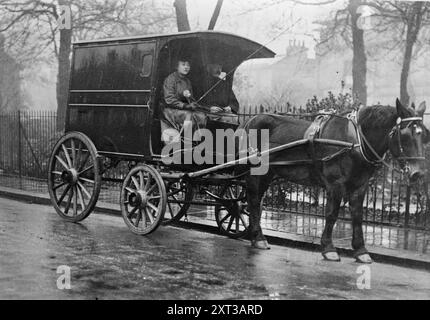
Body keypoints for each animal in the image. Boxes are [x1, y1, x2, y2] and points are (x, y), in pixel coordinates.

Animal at [242, 99, 426, 262]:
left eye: (424, 135)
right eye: (405, 135)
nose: (418, 173)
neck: (355, 141)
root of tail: (251, 120)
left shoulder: (360, 186)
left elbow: (357, 216)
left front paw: (361, 250)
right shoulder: (335, 184)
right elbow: (332, 214)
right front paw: (329, 248)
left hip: (268, 173)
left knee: (255, 200)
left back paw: (255, 235)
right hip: (256, 173)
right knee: (253, 199)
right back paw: (258, 238)